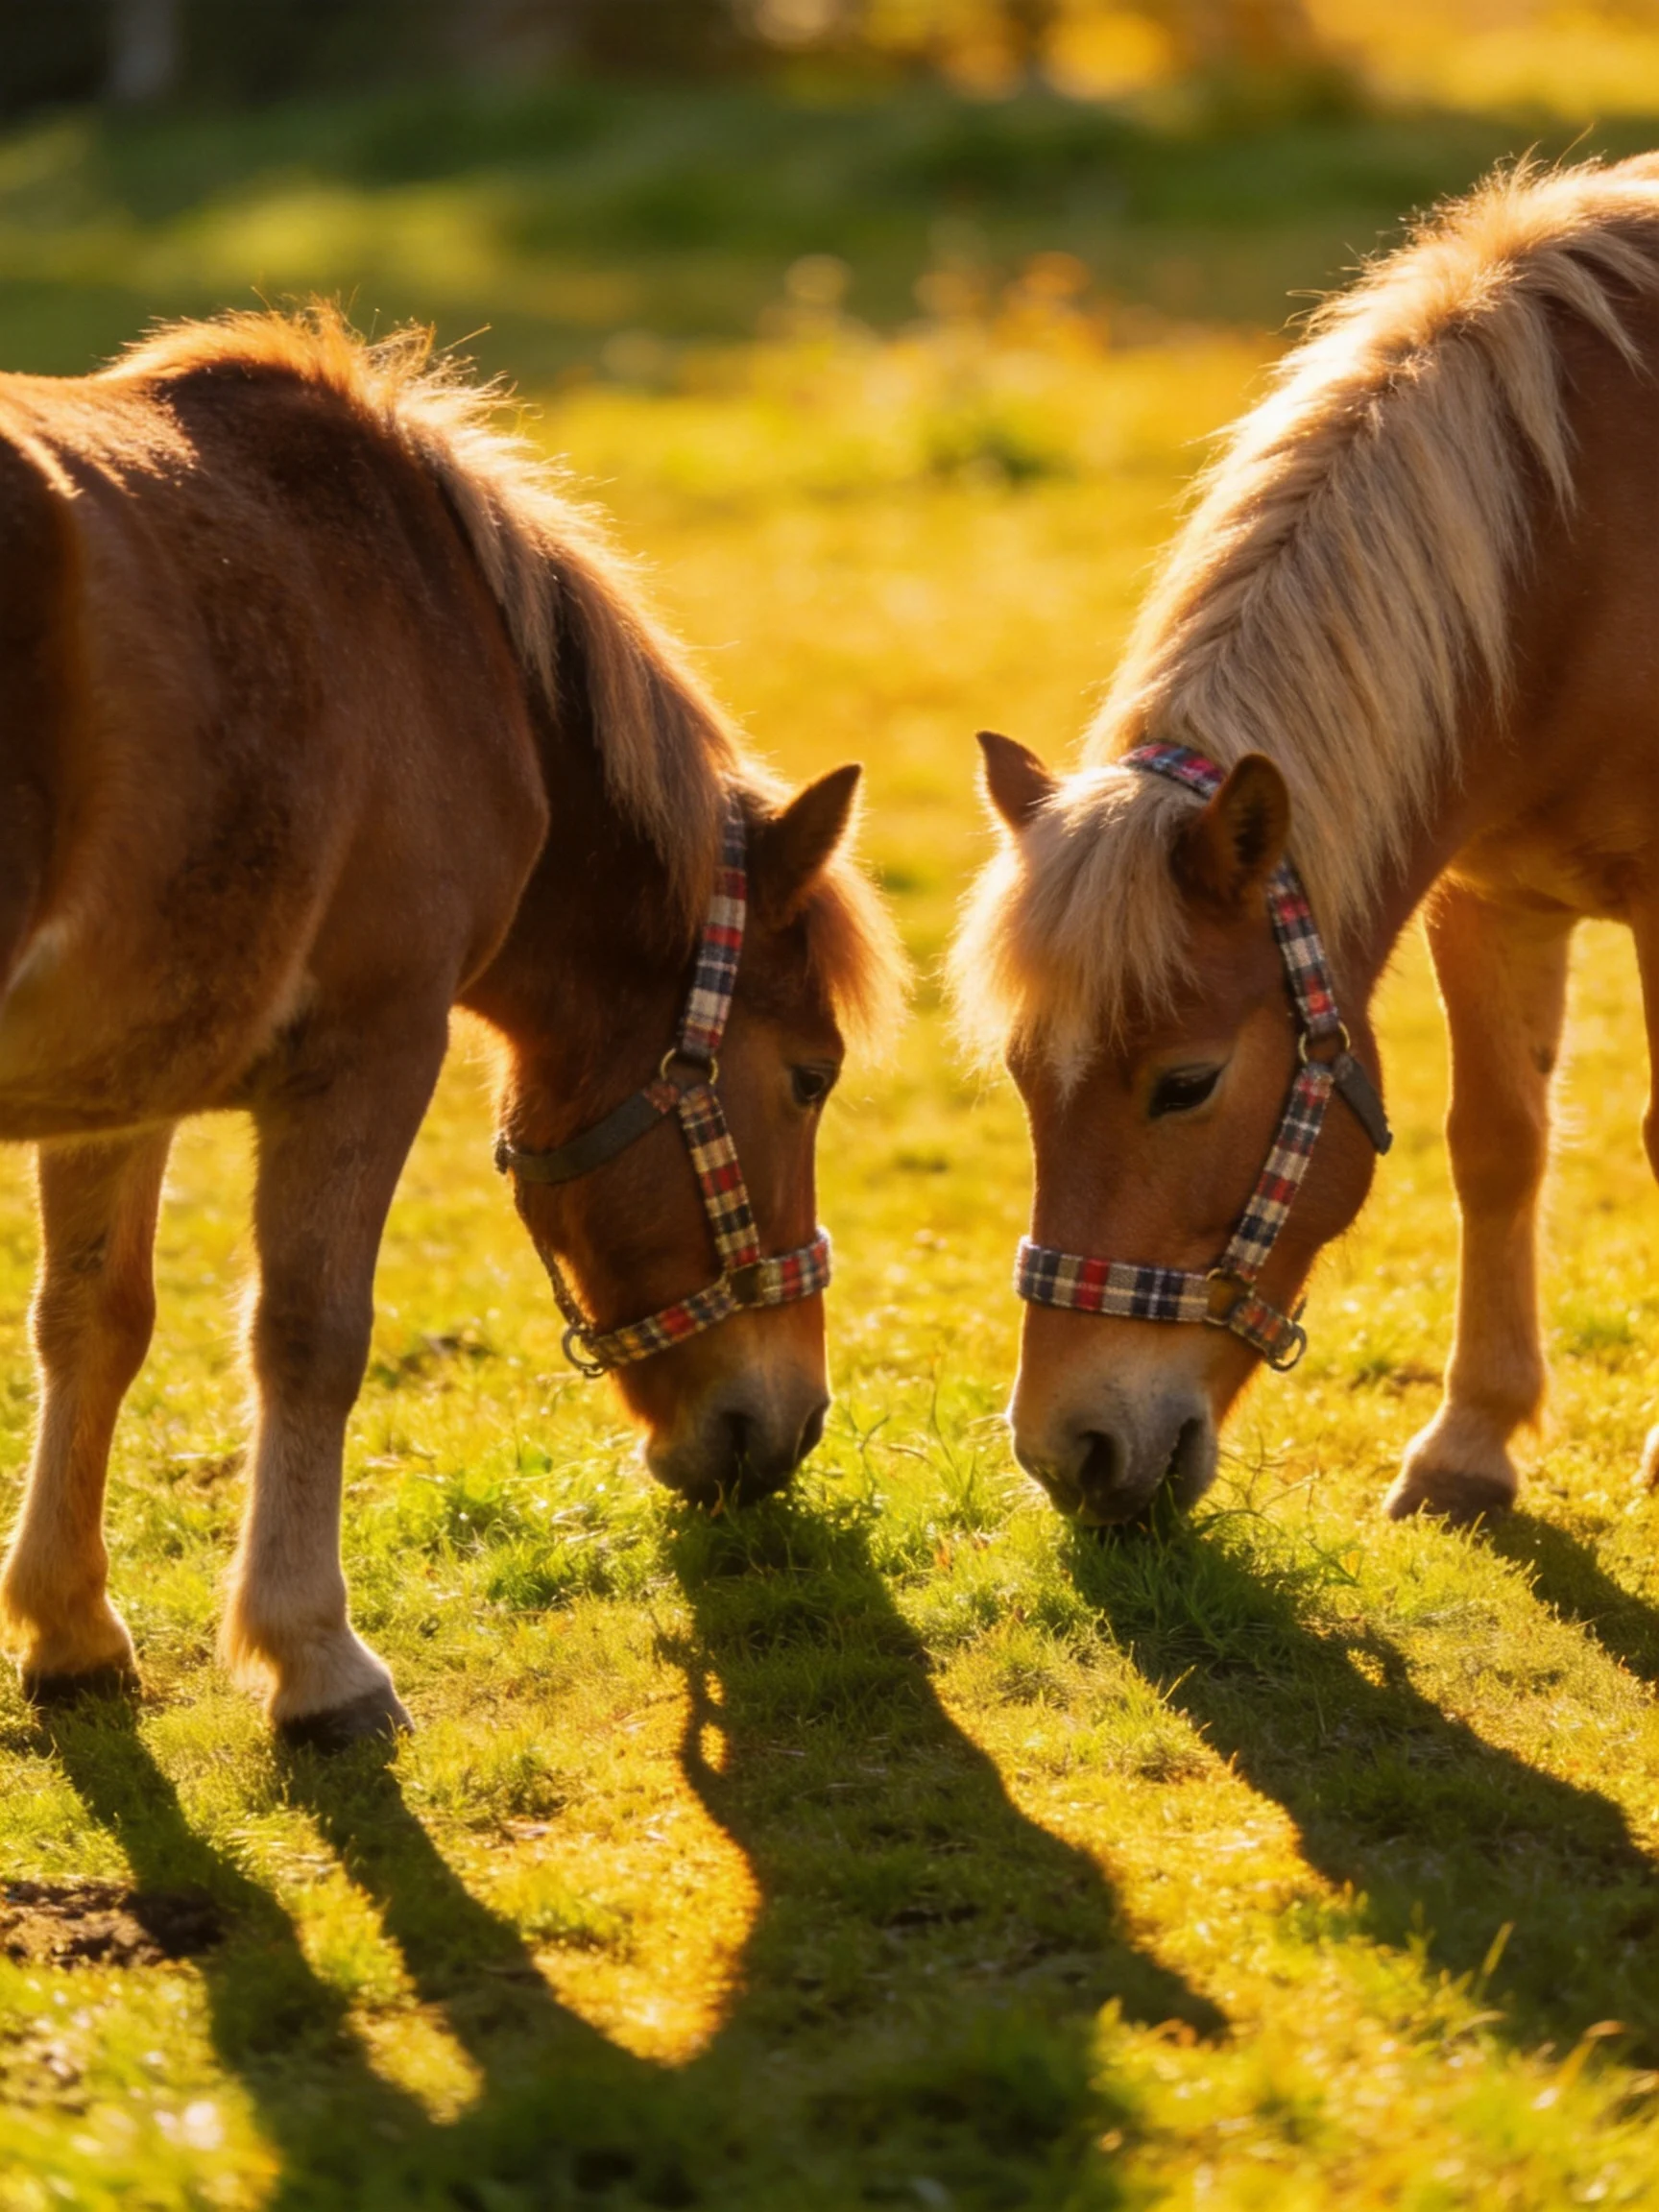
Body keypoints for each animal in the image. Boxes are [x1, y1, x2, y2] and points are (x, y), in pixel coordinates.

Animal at [0, 307, 903, 1744]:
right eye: (811, 1077)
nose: (792, 1424)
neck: (443, 630)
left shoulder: (121, 1072)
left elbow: (94, 1320)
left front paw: (71, 1629)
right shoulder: (370, 1049)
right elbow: (310, 1337)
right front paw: (315, 1657)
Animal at [952, 156, 1659, 1530]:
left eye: (1186, 1083)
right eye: (1020, 1073)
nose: (1069, 1452)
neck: (1587, 550)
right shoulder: (1487, 895)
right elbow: (1497, 1142)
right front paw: (1469, 1441)